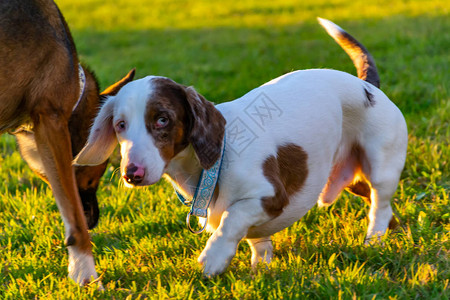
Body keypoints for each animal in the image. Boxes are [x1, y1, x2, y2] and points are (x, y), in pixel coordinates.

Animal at [76, 18, 408, 276]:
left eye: (162, 119)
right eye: (120, 125)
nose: (132, 174)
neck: (213, 164)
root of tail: (368, 85)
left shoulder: (269, 196)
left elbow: (231, 220)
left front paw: (213, 259)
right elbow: (255, 240)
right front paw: (260, 267)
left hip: (380, 169)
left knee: (380, 206)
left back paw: (374, 239)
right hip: (351, 179)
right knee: (384, 208)